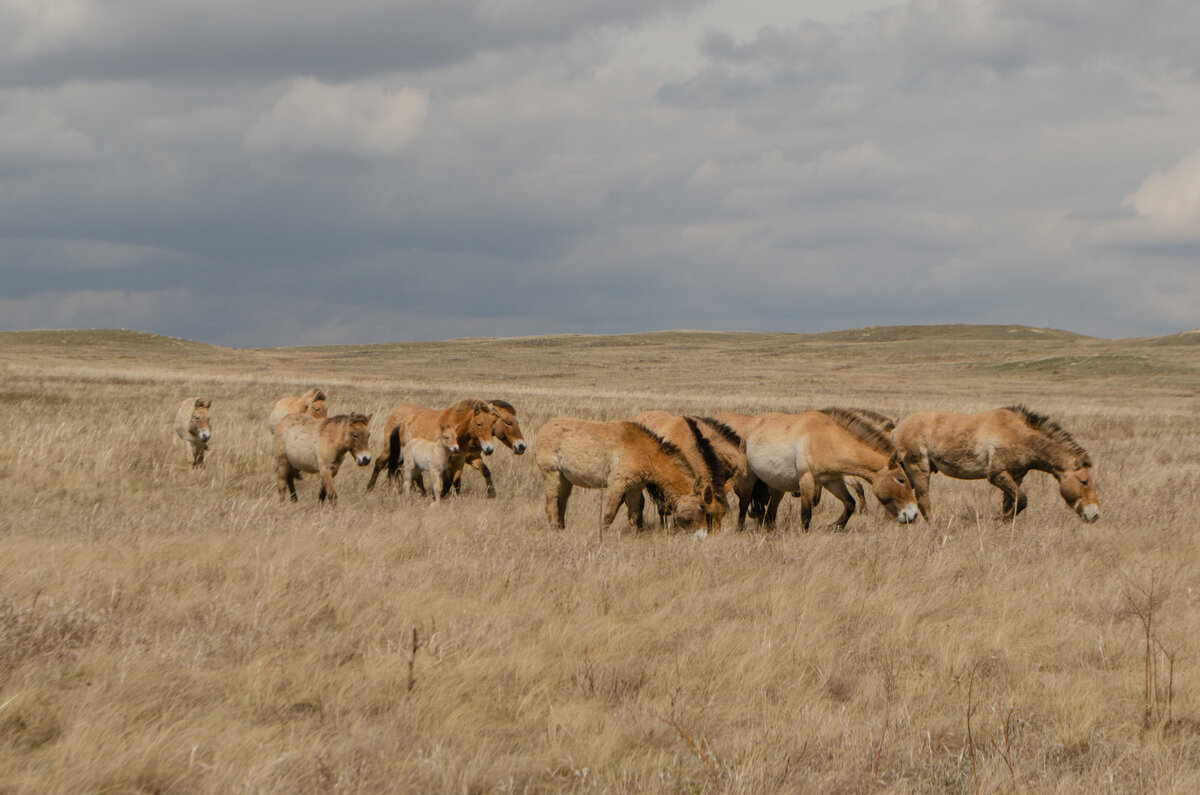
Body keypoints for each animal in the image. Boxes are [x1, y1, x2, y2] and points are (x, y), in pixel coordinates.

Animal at [362, 401, 499, 494]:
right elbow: (447, 482)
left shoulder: (460, 460)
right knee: (379, 464)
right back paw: (370, 487)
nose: (489, 449)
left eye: (492, 423)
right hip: (389, 449)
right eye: (479, 424)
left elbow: (457, 482)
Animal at [537, 417, 720, 542]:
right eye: (701, 506)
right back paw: (554, 531)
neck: (643, 451)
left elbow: (635, 515)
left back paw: (561, 530)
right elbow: (608, 515)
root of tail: (544, 428)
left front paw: (635, 537)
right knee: (551, 505)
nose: (702, 536)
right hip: (552, 475)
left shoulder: (634, 488)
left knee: (561, 504)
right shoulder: (618, 485)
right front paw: (602, 538)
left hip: (565, 480)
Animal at [739, 408, 916, 533]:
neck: (828, 440)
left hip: (777, 484)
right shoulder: (807, 480)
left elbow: (850, 503)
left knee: (770, 512)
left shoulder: (832, 480)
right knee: (745, 502)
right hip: (750, 477)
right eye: (901, 479)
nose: (913, 515)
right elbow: (806, 514)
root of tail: (753, 423)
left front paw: (835, 526)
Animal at [892, 408, 1099, 525]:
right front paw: (999, 520)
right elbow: (1022, 500)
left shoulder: (1015, 477)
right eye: (1084, 481)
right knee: (923, 500)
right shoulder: (997, 475)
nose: (1095, 515)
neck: (1019, 435)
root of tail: (898, 428)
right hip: (919, 468)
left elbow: (1012, 503)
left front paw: (1004, 525)